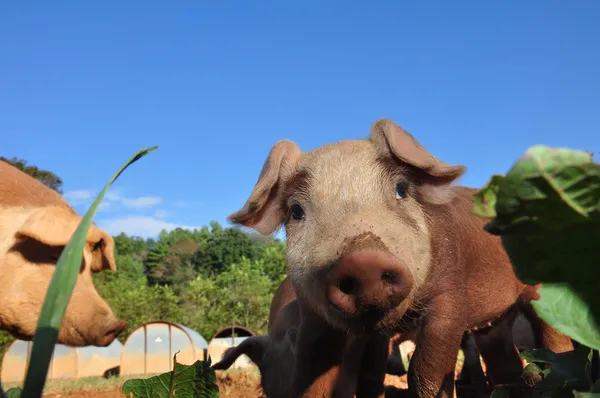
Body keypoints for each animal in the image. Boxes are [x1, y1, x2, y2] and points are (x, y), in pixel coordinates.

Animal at [227, 119, 576, 398]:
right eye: (297, 211)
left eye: (401, 190)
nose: (363, 262)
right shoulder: (317, 318)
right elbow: (320, 380)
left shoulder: (450, 293)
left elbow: (425, 372)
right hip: (495, 324)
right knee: (506, 363)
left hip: (543, 294)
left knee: (557, 345)